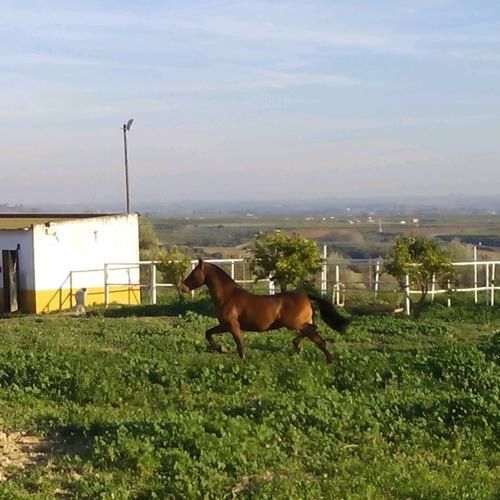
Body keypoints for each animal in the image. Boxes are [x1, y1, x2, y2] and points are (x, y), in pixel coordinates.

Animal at [182, 260, 350, 362]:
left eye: (193, 273)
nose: (183, 287)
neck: (228, 296)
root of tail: (305, 295)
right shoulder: (224, 325)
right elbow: (208, 332)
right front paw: (220, 348)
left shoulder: (232, 325)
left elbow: (239, 343)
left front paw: (239, 356)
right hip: (300, 323)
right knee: (313, 331)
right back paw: (299, 346)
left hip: (295, 323)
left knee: (317, 336)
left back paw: (328, 359)